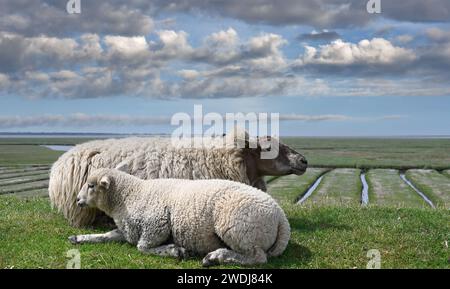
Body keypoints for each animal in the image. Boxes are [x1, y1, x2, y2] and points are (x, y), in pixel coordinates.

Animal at [68, 166, 290, 266]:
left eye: (91, 185)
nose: (78, 200)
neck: (130, 195)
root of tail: (281, 218)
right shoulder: (129, 230)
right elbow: (106, 236)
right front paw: (78, 238)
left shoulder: (157, 224)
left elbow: (142, 247)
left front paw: (175, 250)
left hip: (239, 229)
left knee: (257, 258)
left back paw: (216, 257)